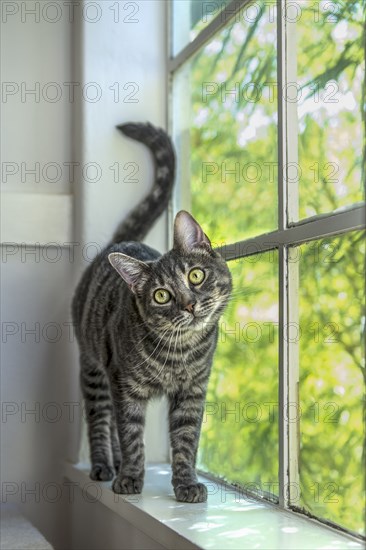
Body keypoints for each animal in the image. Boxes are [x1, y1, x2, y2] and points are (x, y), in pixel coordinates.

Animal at [72, 124, 232, 504]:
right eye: (161, 295)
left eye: (195, 276)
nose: (189, 305)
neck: (181, 352)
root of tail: (116, 244)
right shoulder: (124, 385)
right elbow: (131, 437)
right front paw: (130, 477)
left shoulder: (193, 390)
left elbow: (186, 441)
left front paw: (186, 483)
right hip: (94, 369)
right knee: (101, 421)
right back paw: (104, 466)